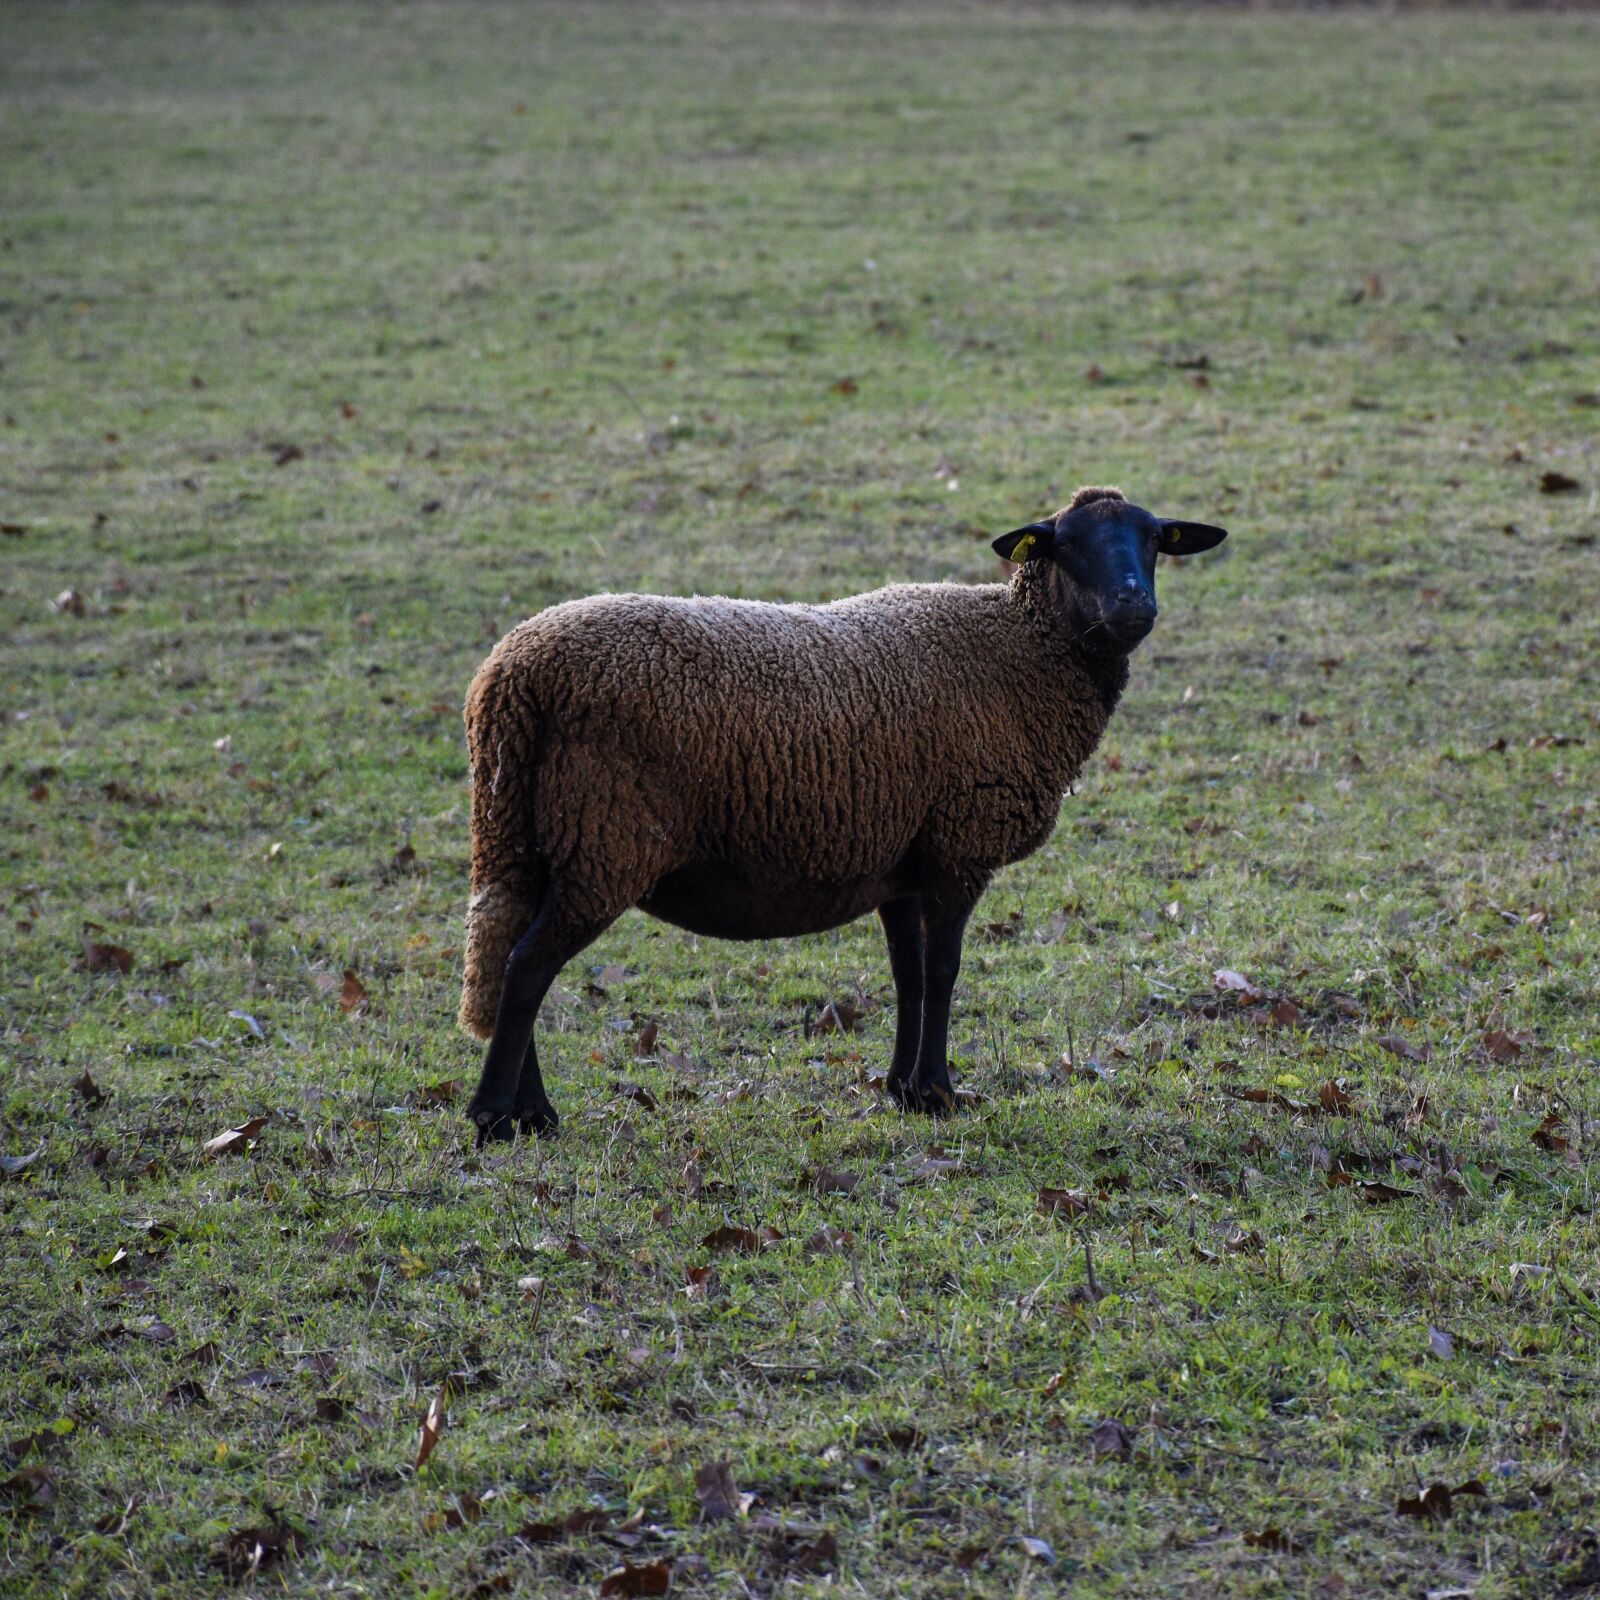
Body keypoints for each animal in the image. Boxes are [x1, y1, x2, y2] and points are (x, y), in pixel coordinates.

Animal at [459, 485, 1227, 1142]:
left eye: (1155, 541)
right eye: (1065, 545)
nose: (1133, 604)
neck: (1020, 647)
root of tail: (511, 678)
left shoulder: (905, 860)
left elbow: (909, 974)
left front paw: (904, 1090)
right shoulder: (960, 848)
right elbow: (944, 969)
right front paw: (939, 1091)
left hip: (524, 833)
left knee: (503, 959)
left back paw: (531, 1112)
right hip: (604, 839)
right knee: (526, 967)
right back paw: (499, 1117)